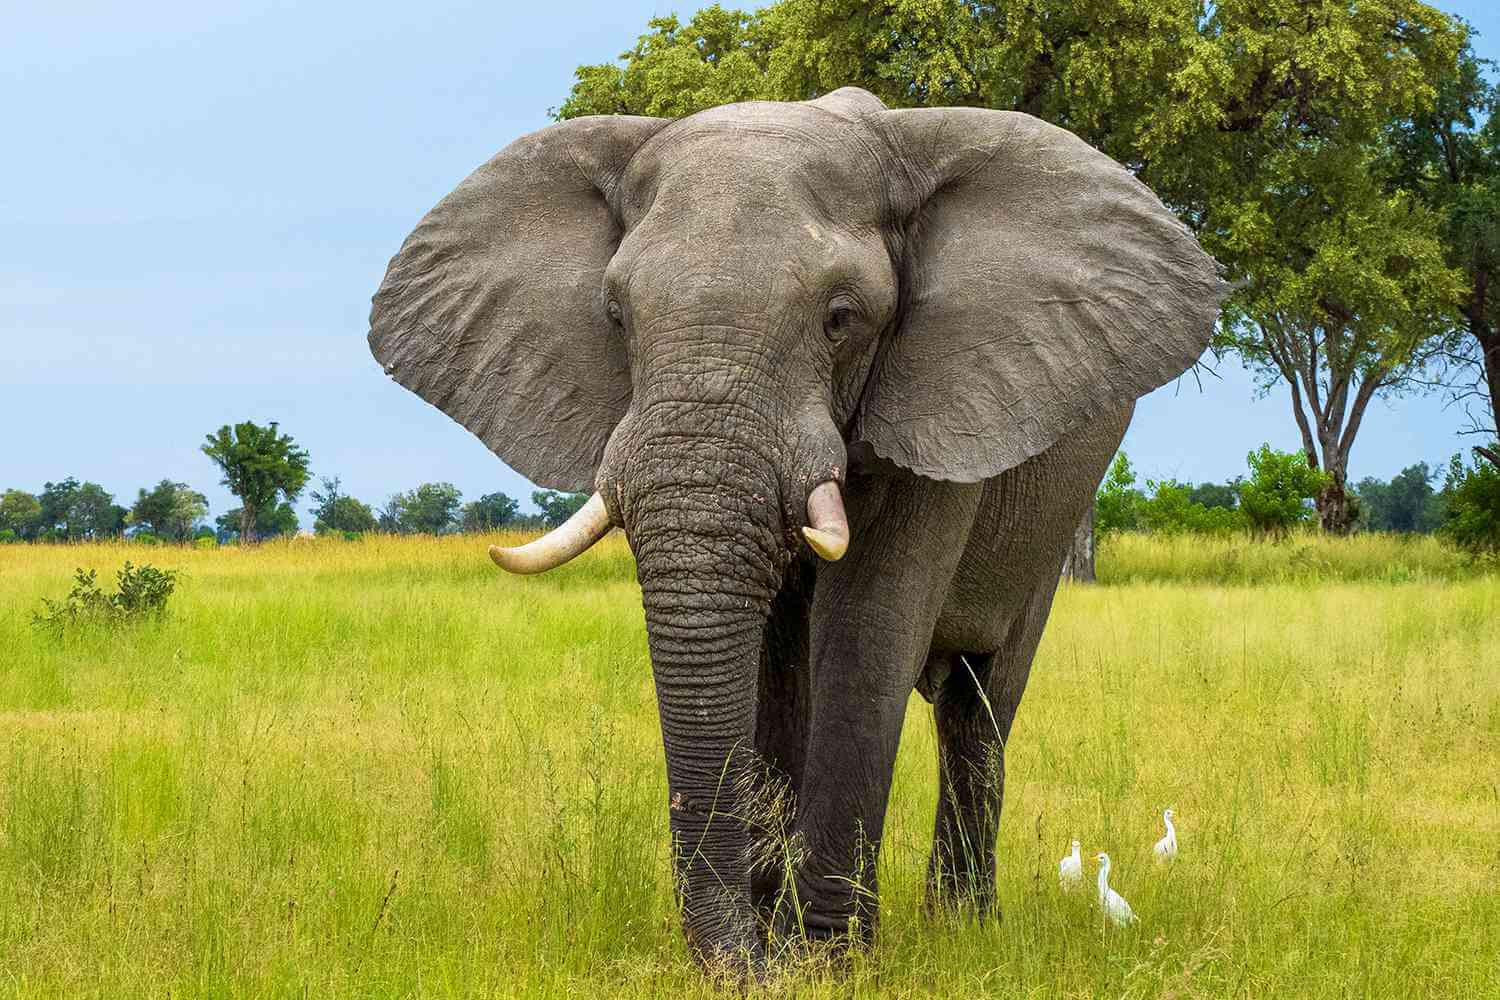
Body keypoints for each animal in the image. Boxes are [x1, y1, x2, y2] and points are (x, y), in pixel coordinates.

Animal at [369, 86, 1225, 973]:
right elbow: (775, 666)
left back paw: (962, 924)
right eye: (615, 316)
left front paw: (828, 961)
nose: (737, 965)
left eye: (841, 318)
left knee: (981, 701)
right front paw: (776, 949)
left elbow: (865, 634)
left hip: (1055, 513)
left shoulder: (936, 397)